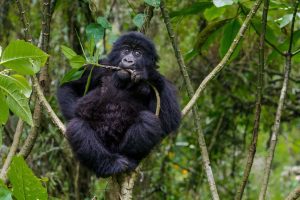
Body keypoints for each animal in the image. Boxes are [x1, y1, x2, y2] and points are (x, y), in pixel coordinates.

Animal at [57, 31, 182, 177]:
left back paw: (130, 158)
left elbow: (170, 119)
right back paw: (110, 164)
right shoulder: (98, 67)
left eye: (138, 53)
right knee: (78, 127)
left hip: (118, 146)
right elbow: (68, 86)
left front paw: (149, 74)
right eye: (126, 50)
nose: (128, 60)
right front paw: (76, 112)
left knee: (149, 121)